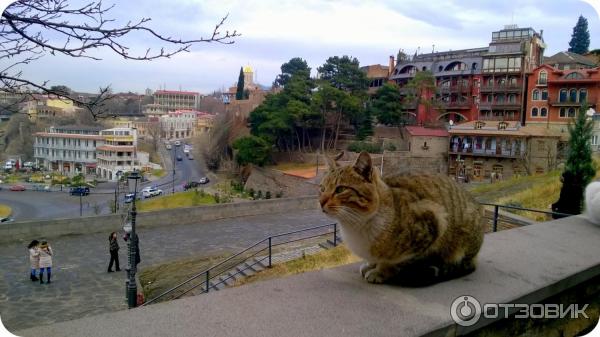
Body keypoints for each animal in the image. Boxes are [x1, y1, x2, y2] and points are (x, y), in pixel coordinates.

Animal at [322, 151, 486, 284]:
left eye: (340, 189)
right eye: (322, 188)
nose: (321, 202)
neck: (357, 224)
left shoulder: (434, 221)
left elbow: (395, 262)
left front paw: (380, 271)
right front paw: (371, 264)